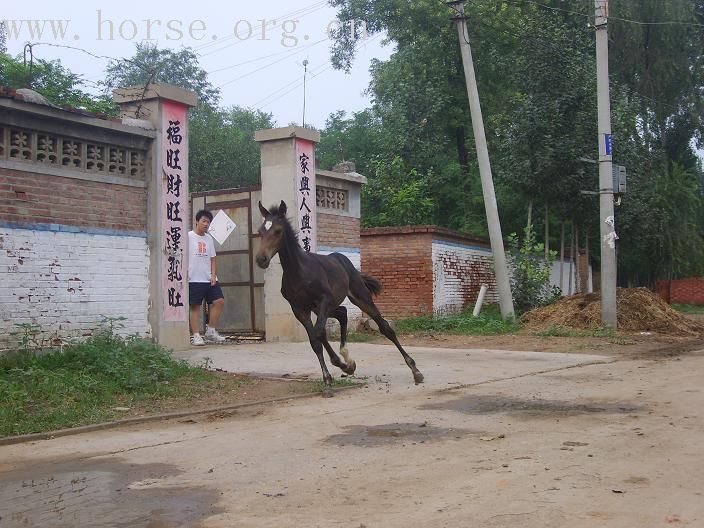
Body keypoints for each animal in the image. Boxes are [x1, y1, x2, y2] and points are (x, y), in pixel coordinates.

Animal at [256, 202, 424, 396]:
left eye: (278, 231)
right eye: (260, 231)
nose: (261, 259)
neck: (299, 272)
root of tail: (343, 259)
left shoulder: (325, 299)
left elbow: (319, 333)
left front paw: (331, 378)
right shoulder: (299, 309)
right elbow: (315, 340)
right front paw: (334, 375)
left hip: (359, 296)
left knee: (384, 327)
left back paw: (415, 370)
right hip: (322, 307)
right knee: (342, 313)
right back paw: (346, 362)